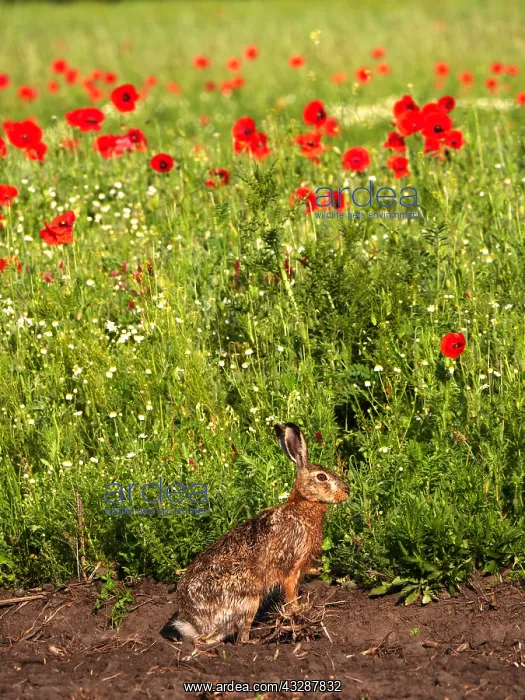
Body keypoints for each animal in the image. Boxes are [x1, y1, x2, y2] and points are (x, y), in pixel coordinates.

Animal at [170, 422, 349, 650]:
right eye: (322, 477)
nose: (347, 491)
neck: (303, 506)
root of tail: (194, 623)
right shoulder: (290, 568)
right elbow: (290, 594)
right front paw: (297, 613)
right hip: (248, 599)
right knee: (234, 638)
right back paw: (257, 641)